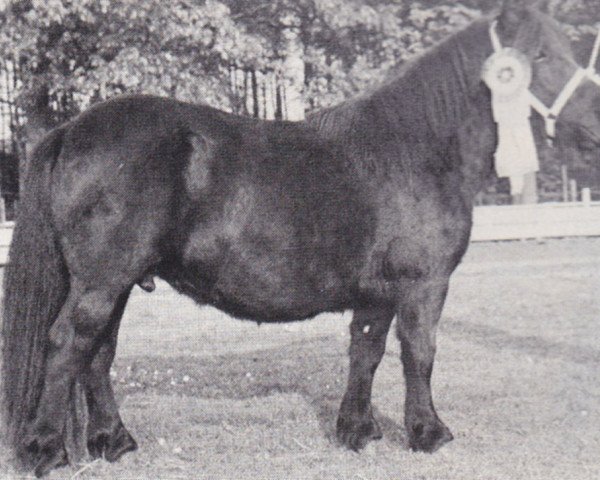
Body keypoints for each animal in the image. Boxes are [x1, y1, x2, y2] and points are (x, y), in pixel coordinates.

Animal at [3, 0, 600, 476]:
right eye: (539, 58)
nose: (595, 125)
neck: (419, 149)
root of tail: (71, 129)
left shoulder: (377, 293)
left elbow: (367, 351)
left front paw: (357, 431)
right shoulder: (422, 285)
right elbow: (420, 353)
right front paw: (429, 434)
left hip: (119, 281)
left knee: (97, 352)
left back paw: (115, 442)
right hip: (103, 280)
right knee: (68, 344)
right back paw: (45, 450)